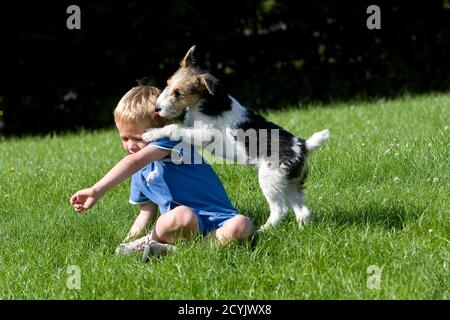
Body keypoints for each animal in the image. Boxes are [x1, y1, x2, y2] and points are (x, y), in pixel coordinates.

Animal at [144, 46, 330, 232]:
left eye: (178, 93)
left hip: (270, 178)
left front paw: (150, 133)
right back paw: (302, 230)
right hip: (291, 183)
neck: (209, 102)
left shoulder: (205, 133)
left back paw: (263, 230)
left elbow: (173, 128)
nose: (156, 108)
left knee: (280, 209)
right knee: (303, 211)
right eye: (167, 84)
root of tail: (301, 145)